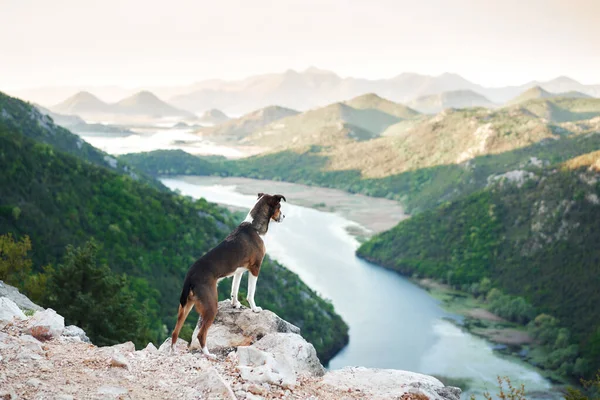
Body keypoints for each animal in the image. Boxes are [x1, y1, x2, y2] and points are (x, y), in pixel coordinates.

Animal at [170, 192, 288, 358]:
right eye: (279, 207)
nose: (284, 216)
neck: (254, 227)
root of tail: (190, 275)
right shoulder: (255, 268)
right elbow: (251, 293)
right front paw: (255, 308)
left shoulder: (238, 271)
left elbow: (234, 290)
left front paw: (235, 304)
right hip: (211, 306)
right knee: (201, 334)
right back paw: (208, 354)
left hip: (186, 306)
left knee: (175, 331)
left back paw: (173, 350)